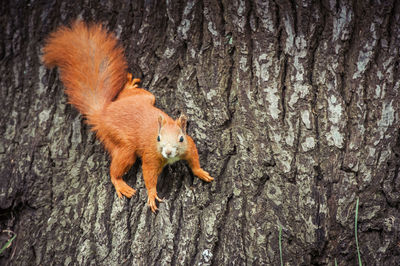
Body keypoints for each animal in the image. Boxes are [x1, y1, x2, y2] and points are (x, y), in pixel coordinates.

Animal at [42, 20, 214, 212]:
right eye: (158, 138)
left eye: (181, 138)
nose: (168, 152)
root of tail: (103, 112)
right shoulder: (151, 157)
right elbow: (149, 175)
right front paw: (152, 195)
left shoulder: (189, 146)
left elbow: (194, 159)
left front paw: (201, 172)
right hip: (122, 143)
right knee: (116, 168)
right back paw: (120, 183)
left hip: (146, 98)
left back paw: (129, 86)